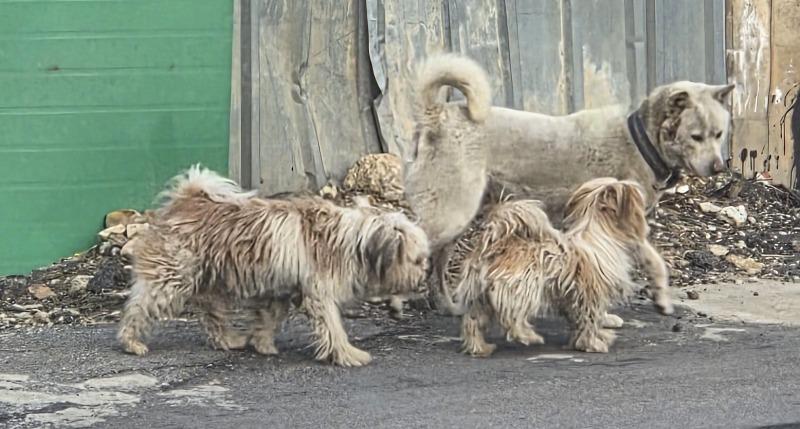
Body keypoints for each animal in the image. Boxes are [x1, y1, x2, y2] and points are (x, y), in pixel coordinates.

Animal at [117, 166, 432, 366]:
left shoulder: (279, 289)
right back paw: (131, 342)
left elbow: (267, 320)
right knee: (140, 306)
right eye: (417, 259)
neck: (353, 238)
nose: (423, 281)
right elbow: (333, 328)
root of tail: (187, 199)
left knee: (211, 314)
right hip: (172, 276)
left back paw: (228, 339)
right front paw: (348, 355)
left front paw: (263, 344)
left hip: (213, 280)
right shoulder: (319, 294)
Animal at [440, 177, 672, 354]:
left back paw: (480, 347)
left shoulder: (573, 298)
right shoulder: (590, 295)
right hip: (524, 289)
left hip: (479, 297)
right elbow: (590, 320)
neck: (598, 232)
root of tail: (494, 244)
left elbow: (580, 321)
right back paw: (528, 336)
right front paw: (593, 343)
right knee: (512, 319)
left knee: (473, 321)